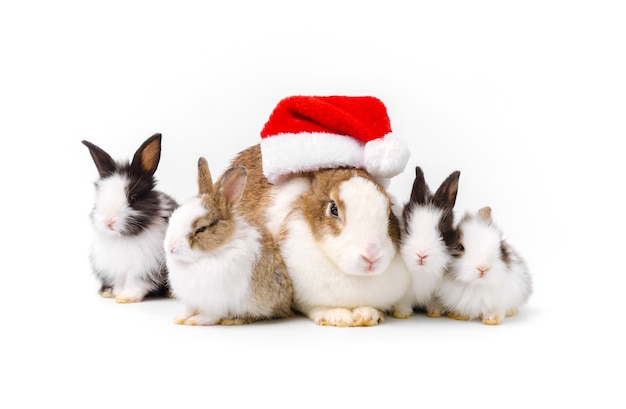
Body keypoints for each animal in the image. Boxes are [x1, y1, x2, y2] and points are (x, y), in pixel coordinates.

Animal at [81, 132, 177, 302]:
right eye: (100, 196)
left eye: (133, 198)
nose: (108, 221)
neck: (122, 238)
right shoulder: (114, 266)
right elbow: (119, 280)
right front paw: (118, 293)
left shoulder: (146, 265)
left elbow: (137, 281)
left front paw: (126, 297)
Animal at [163, 156, 294, 326]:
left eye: (201, 229)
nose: (170, 248)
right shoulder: (191, 299)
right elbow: (189, 309)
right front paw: (179, 318)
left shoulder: (217, 301)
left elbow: (211, 315)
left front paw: (196, 321)